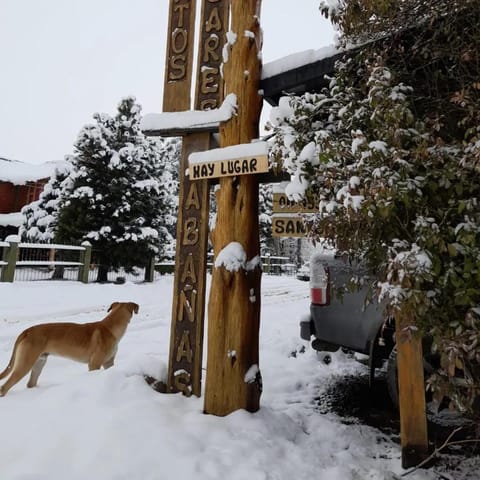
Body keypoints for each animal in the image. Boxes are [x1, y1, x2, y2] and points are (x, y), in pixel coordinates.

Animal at [0, 300, 139, 398]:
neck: (110, 328)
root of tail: (26, 331)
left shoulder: (108, 363)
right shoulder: (94, 364)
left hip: (39, 362)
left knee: (30, 383)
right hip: (25, 363)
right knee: (5, 387)